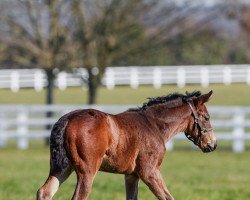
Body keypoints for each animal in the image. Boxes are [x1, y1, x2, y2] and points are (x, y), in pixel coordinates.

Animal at [37, 90, 217, 200]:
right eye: (206, 117)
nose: (213, 144)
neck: (154, 125)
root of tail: (67, 119)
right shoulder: (149, 172)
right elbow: (167, 197)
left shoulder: (132, 175)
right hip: (86, 172)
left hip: (61, 168)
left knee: (44, 192)